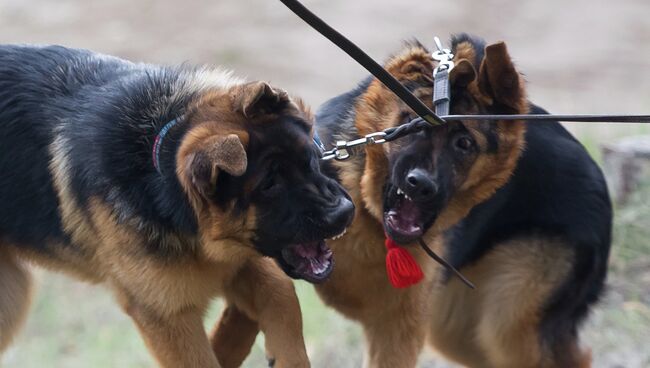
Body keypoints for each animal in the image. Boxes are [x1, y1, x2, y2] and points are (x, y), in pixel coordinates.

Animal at [0, 44, 352, 366]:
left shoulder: (238, 261)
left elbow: (281, 292)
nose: (345, 212)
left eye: (312, 158)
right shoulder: (169, 316)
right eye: (269, 185)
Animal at [304, 33, 608, 366]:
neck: (365, 211)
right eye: (410, 126)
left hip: (509, 320)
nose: (421, 185)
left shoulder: (396, 330)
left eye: (464, 143)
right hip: (459, 331)